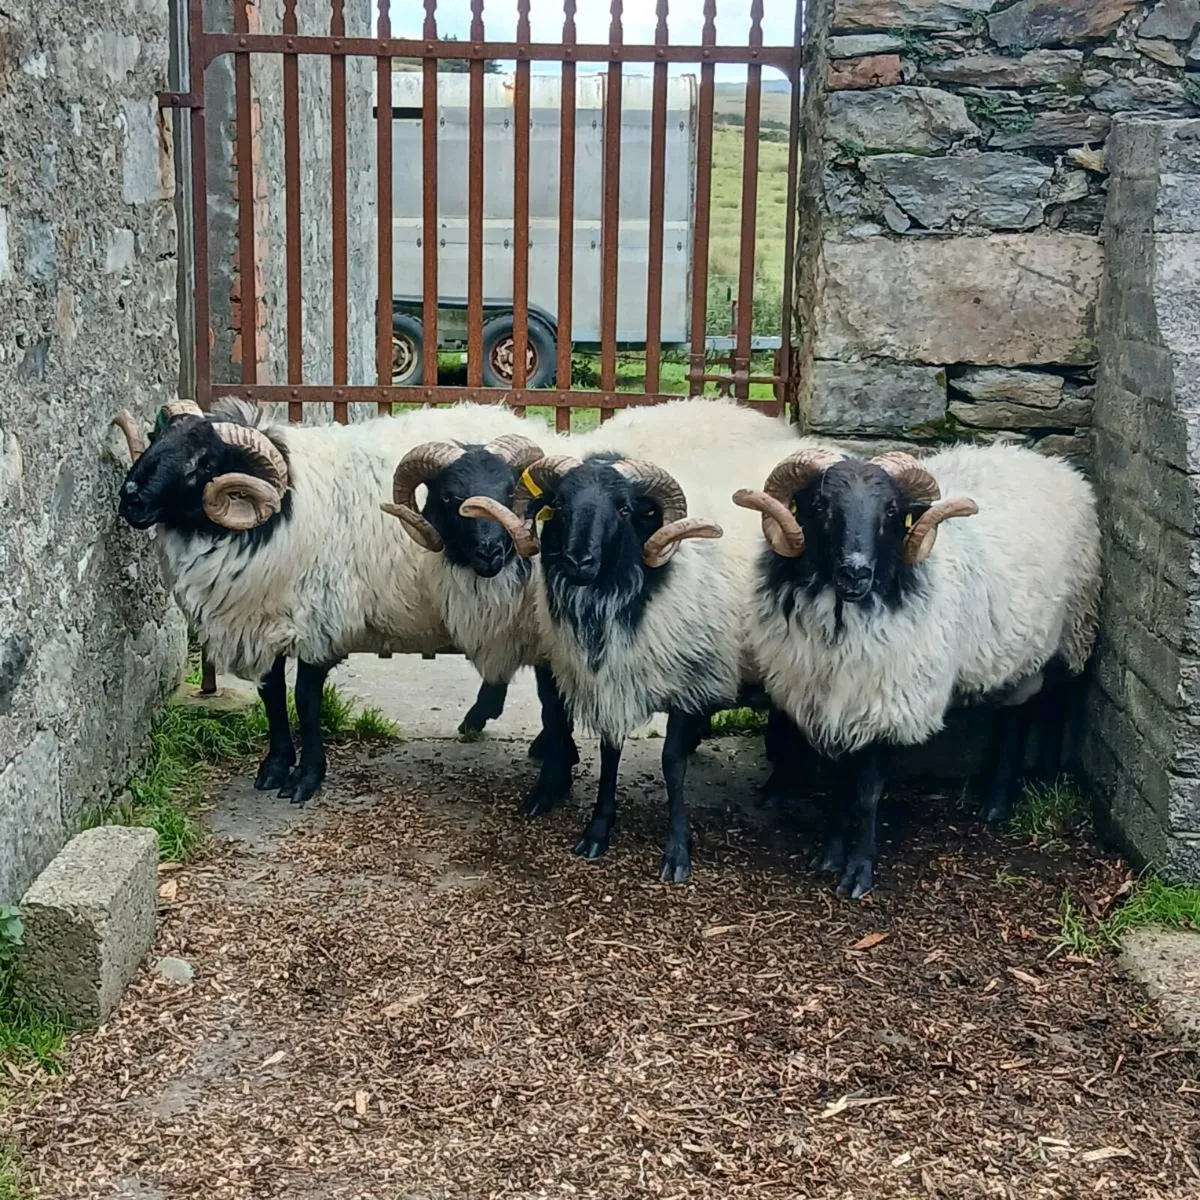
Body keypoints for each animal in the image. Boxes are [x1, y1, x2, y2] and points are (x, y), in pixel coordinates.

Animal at [112, 397, 561, 804]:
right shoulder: (265, 620)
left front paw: (306, 778)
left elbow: (306, 702)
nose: (129, 498)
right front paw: (275, 767)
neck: (279, 515)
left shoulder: (321, 623)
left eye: (204, 464)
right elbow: (272, 695)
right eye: (155, 439)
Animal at [463, 397, 803, 881]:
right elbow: (610, 756)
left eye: (624, 510)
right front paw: (597, 830)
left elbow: (671, 764)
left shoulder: (690, 680)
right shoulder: (611, 679)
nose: (577, 561)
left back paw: (779, 786)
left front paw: (677, 850)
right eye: (560, 504)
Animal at [733, 442, 1101, 899]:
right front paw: (830, 856)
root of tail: (1051, 463)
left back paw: (1033, 784)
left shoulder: (889, 704)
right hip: (1016, 649)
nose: (855, 571)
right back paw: (998, 799)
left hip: (1074, 629)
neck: (843, 619)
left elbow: (867, 794)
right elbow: (839, 786)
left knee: (1057, 698)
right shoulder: (833, 704)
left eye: (891, 511)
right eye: (819, 505)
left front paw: (859, 872)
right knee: (1017, 711)